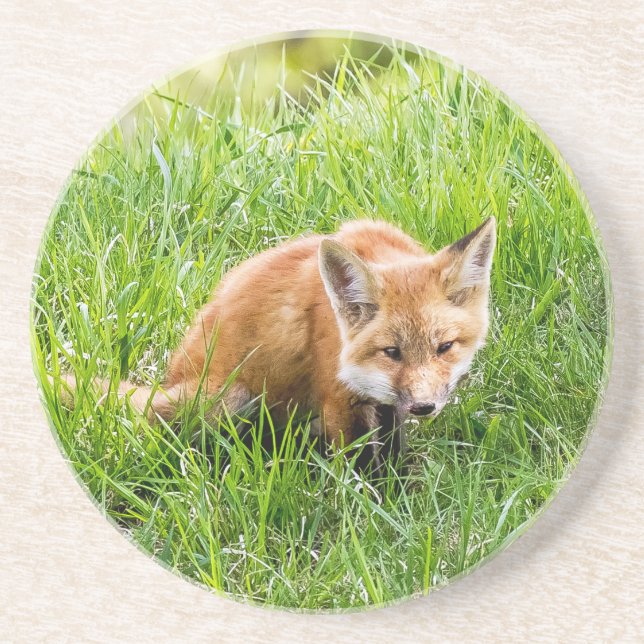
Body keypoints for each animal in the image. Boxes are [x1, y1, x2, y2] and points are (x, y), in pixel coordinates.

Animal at [57, 217, 496, 472]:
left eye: (444, 347)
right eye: (392, 352)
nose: (424, 407)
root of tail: (168, 381)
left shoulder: (387, 403)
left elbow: (392, 453)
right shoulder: (339, 400)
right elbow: (359, 472)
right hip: (231, 399)